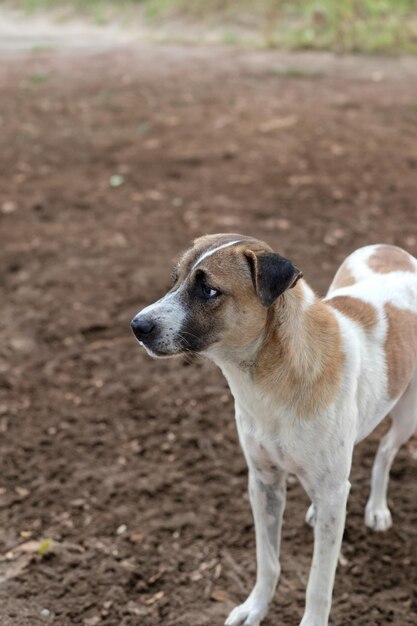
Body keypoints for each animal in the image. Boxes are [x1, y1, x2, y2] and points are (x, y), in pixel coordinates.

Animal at [130, 234, 416, 624]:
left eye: (208, 290)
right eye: (175, 279)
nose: (137, 326)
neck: (272, 379)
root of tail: (389, 247)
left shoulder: (326, 490)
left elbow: (318, 585)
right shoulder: (264, 482)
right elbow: (268, 561)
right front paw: (255, 607)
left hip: (408, 415)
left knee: (385, 451)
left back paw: (376, 508)